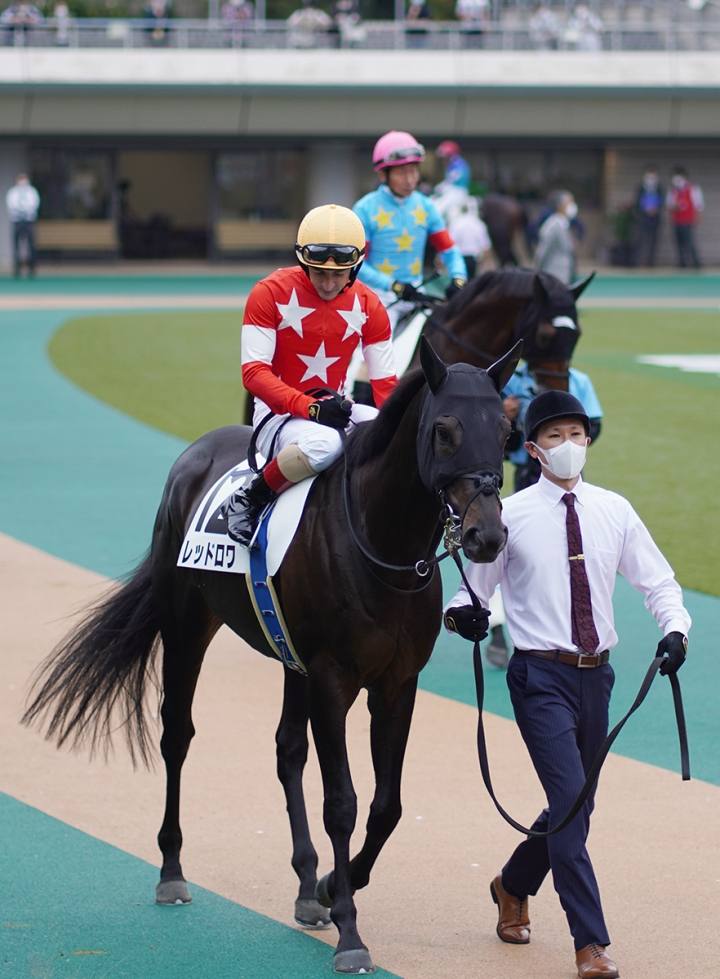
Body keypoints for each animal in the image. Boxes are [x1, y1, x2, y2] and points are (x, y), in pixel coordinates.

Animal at [22, 340, 516, 976]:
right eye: (444, 430)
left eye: (506, 430)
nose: (487, 536)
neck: (380, 548)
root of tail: (199, 449)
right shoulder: (333, 678)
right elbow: (342, 803)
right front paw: (349, 931)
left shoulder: (396, 682)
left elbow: (386, 806)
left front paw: (330, 886)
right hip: (187, 625)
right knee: (176, 735)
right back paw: (172, 871)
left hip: (289, 657)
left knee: (287, 751)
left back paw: (306, 886)